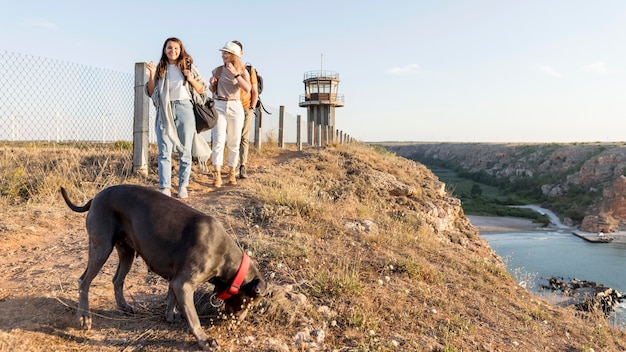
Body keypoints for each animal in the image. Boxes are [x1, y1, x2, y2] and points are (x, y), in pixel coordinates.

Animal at [58, 184, 264, 350]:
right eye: (251, 303)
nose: (236, 324)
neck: (225, 256)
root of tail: (96, 197)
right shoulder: (184, 284)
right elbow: (194, 318)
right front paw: (204, 340)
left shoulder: (176, 280)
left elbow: (171, 297)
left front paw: (170, 315)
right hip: (101, 247)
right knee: (84, 281)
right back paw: (84, 317)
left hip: (126, 252)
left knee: (117, 280)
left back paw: (124, 306)